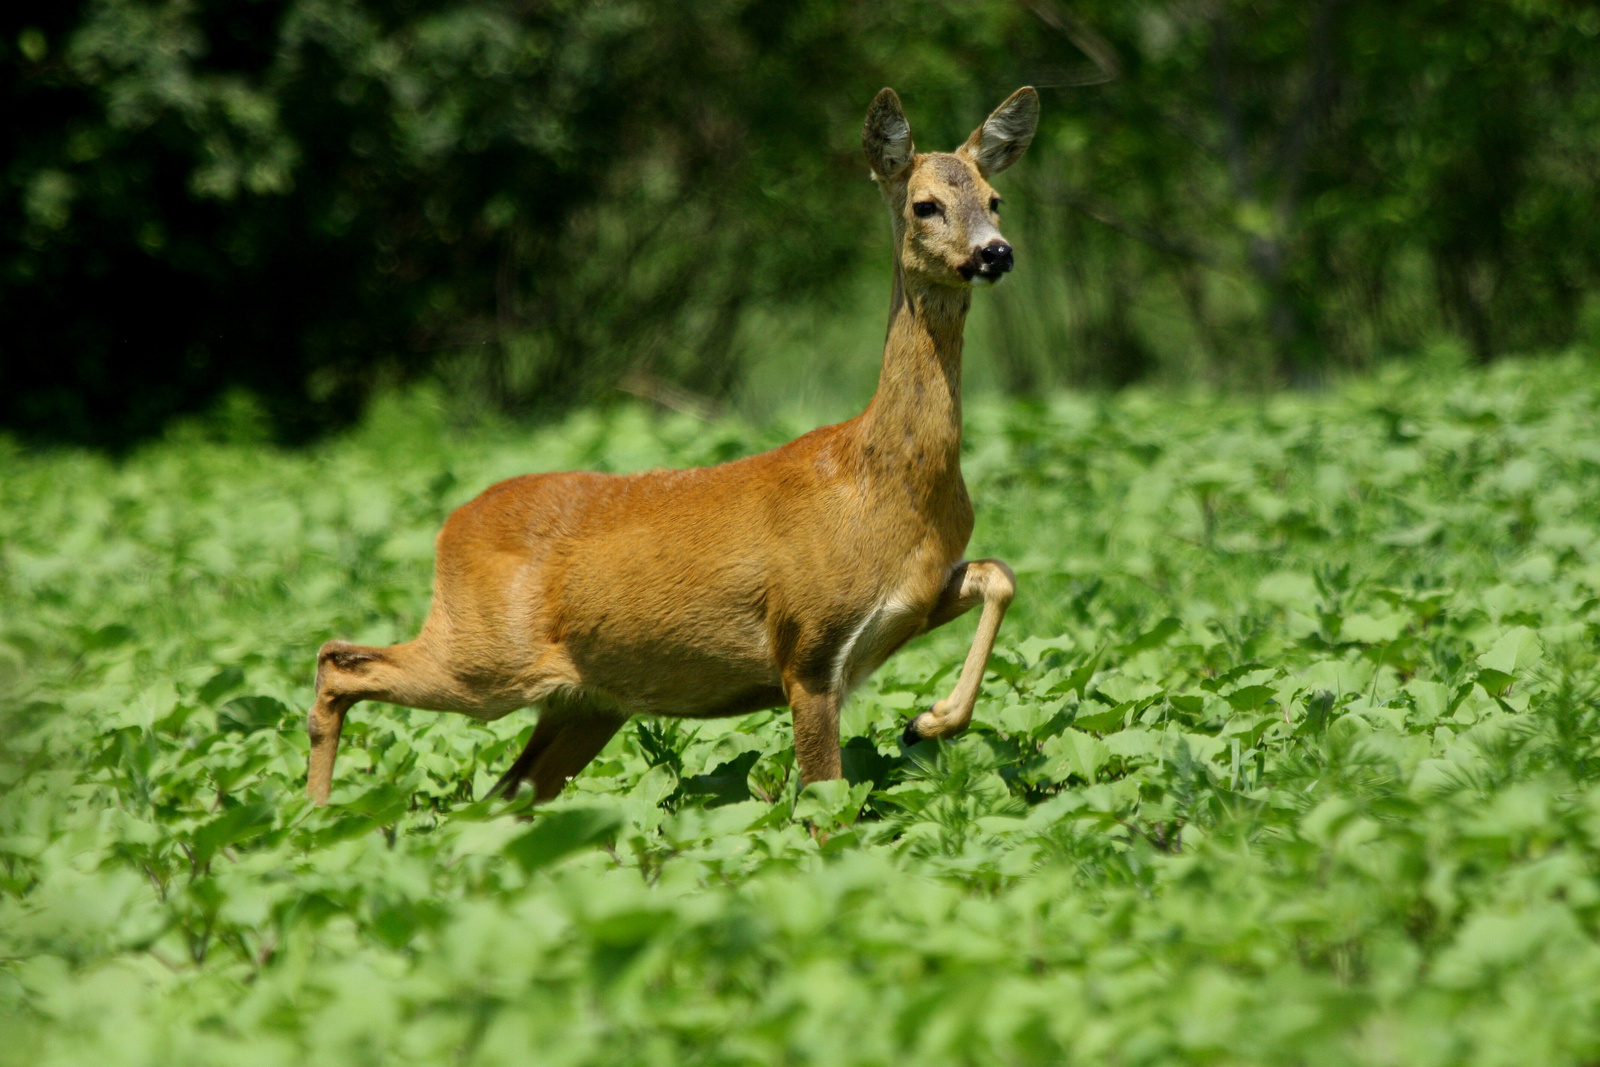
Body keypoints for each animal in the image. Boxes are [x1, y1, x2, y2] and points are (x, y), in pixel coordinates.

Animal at [305, 87, 1043, 806]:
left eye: (995, 199)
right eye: (925, 204)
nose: (996, 252)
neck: (881, 479)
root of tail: (449, 526)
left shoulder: (911, 600)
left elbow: (999, 572)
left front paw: (928, 720)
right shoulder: (806, 647)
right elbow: (823, 804)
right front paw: (917, 730)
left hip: (586, 703)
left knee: (503, 794)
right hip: (482, 655)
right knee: (339, 661)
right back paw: (313, 817)